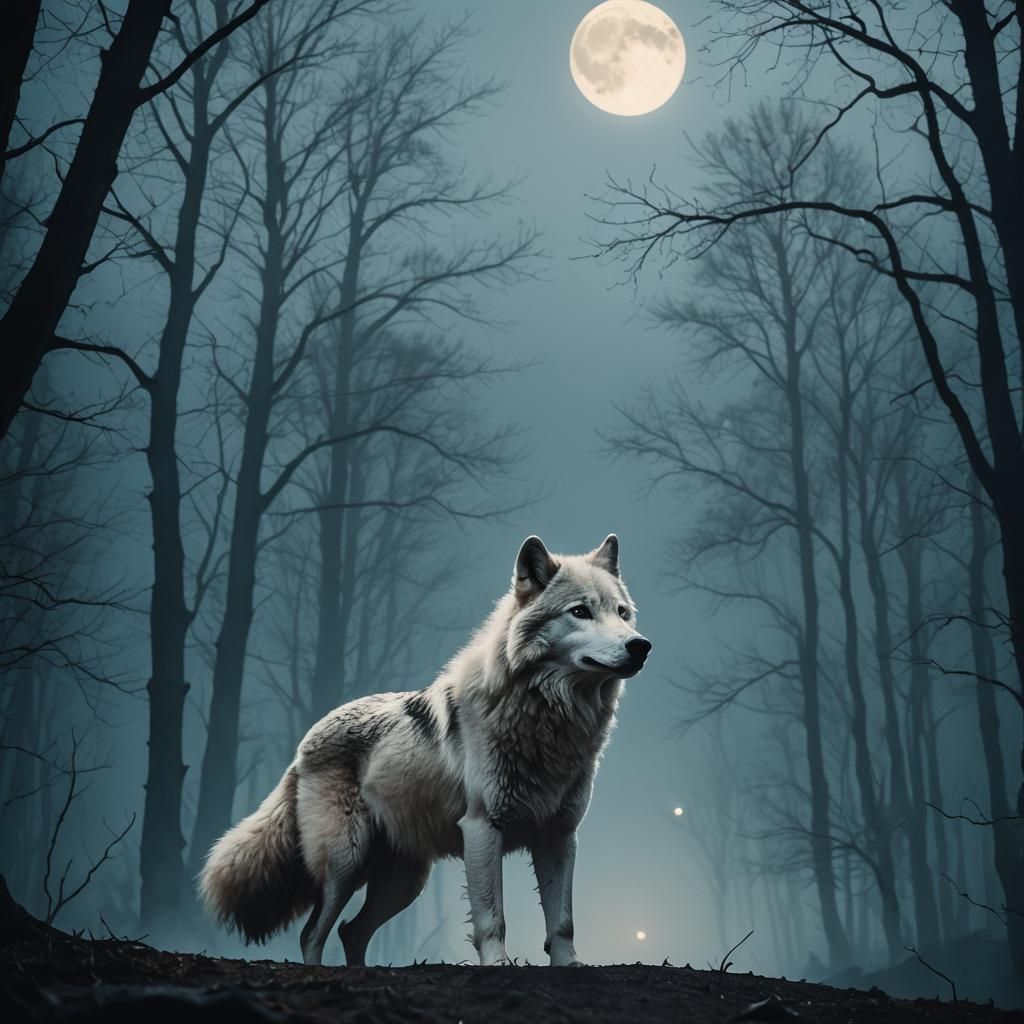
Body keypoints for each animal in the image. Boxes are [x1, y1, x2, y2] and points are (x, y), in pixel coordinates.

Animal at [199, 534, 651, 967]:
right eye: (580, 611)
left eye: (621, 613)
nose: (640, 646)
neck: (547, 718)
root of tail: (304, 744)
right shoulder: (483, 828)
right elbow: (493, 917)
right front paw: (498, 966)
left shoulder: (560, 835)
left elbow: (562, 920)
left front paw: (569, 965)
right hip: (346, 862)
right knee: (313, 934)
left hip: (402, 883)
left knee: (351, 932)